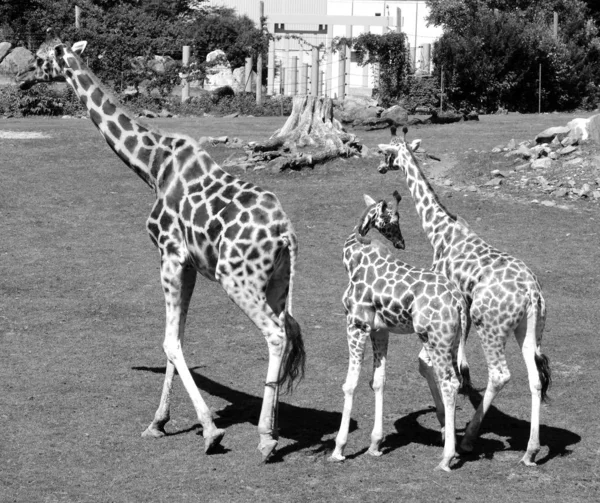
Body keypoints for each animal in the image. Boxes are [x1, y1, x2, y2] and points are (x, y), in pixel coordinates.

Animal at [18, 33, 304, 462]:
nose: (18, 77)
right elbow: (178, 338)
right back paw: (272, 429)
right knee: (286, 330)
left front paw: (210, 431)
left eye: (38, 58)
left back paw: (266, 438)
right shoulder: (188, 264)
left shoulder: (168, 254)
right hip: (277, 283)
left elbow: (169, 341)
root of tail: (284, 232)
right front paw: (159, 422)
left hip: (237, 279)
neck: (152, 166)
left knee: (274, 334)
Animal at [330, 192, 466, 472]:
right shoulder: (380, 330)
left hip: (436, 339)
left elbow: (350, 384)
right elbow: (378, 380)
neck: (352, 257)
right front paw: (374, 445)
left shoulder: (356, 324)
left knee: (450, 382)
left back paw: (446, 458)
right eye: (393, 219)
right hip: (453, 341)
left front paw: (339, 448)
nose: (401, 243)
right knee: (455, 380)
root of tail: (459, 302)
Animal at [378, 128, 552, 466]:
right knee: (535, 378)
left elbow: (427, 364)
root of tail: (531, 294)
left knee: (500, 374)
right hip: (529, 328)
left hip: (491, 325)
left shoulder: (452, 302)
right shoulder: (464, 305)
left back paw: (470, 439)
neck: (439, 232)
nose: (379, 168)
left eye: (385, 153)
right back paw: (531, 450)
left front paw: (445, 426)